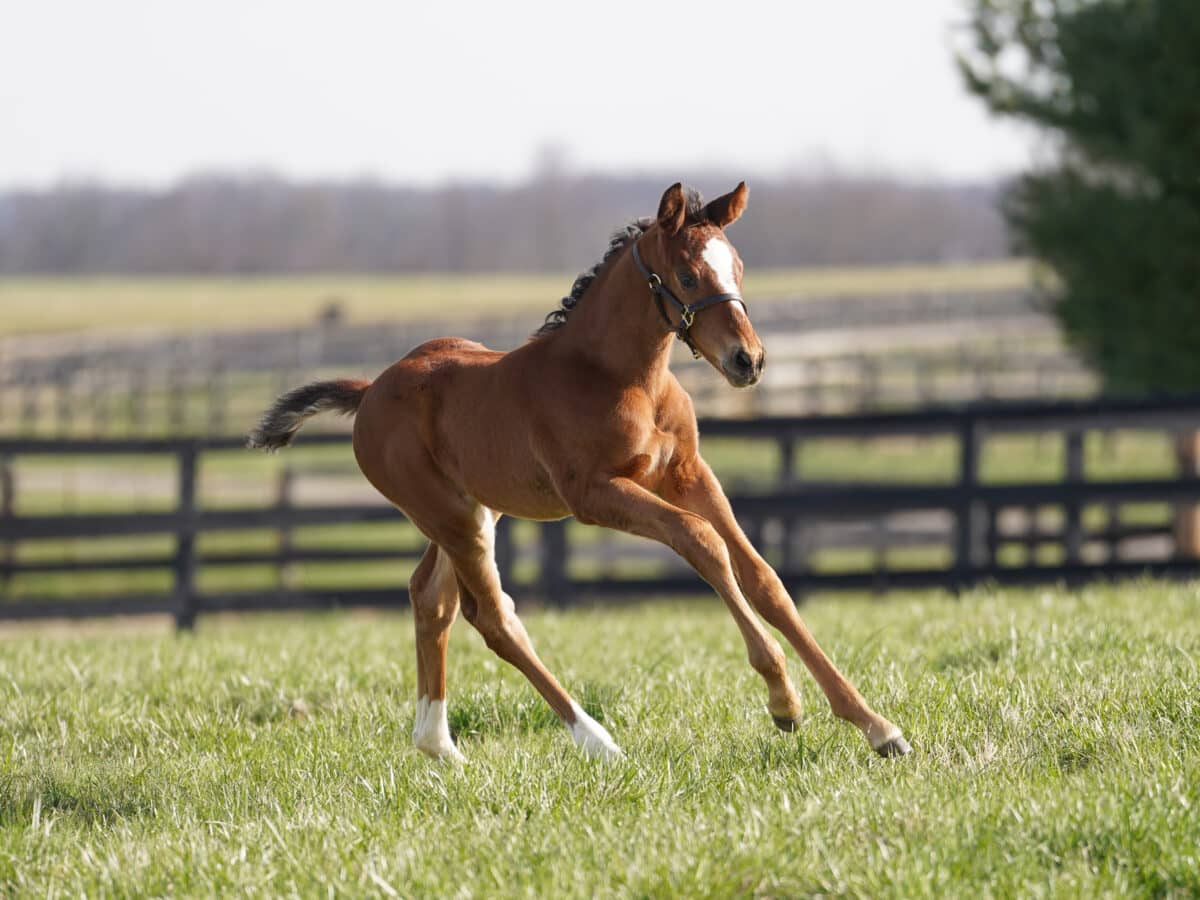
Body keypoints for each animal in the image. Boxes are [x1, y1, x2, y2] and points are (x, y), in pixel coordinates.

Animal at [250, 183, 907, 763]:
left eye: (739, 268)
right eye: (689, 276)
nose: (750, 360)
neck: (618, 376)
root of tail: (369, 393)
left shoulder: (688, 473)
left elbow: (763, 577)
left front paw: (876, 726)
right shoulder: (596, 494)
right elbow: (703, 543)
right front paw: (783, 701)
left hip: (474, 509)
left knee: (429, 599)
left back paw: (440, 748)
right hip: (452, 517)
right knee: (493, 619)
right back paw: (597, 742)